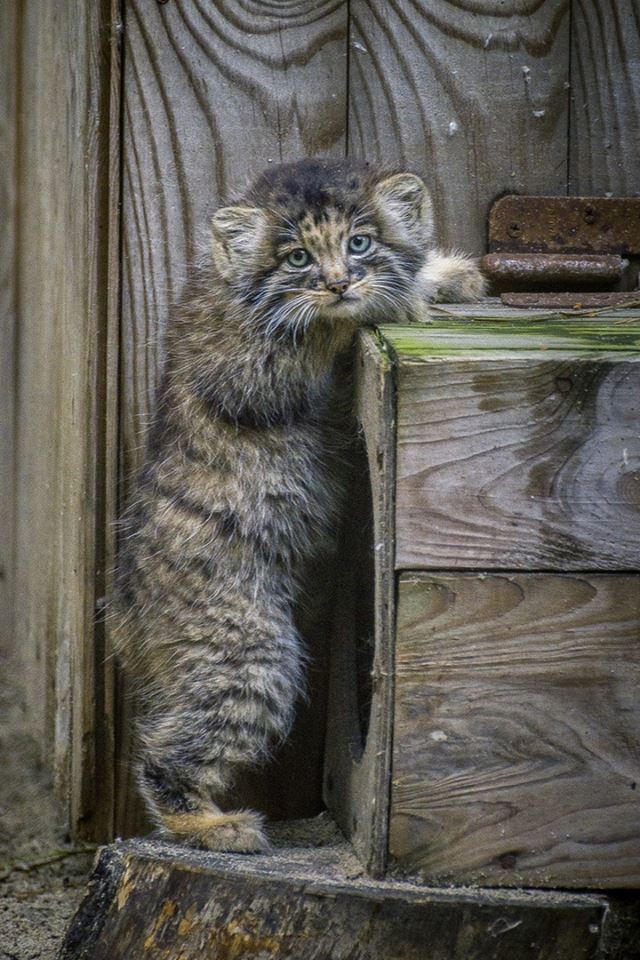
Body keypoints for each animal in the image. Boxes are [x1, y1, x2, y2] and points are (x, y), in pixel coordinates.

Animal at [115, 159, 484, 856]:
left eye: (359, 243)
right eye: (296, 258)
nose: (339, 282)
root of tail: (129, 609)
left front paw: (441, 275)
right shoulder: (241, 367)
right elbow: (311, 331)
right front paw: (387, 302)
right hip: (246, 652)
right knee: (164, 754)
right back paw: (209, 824)